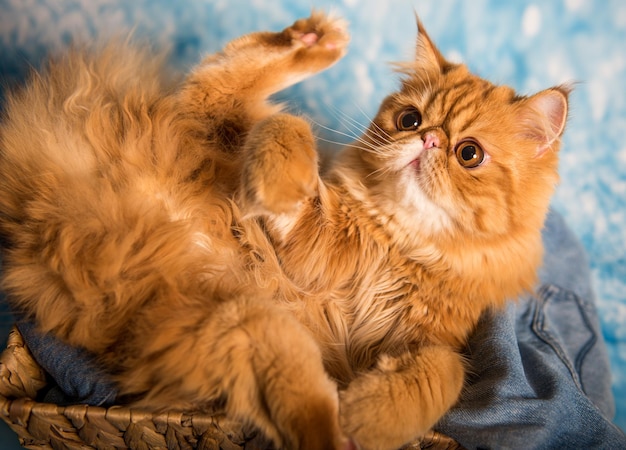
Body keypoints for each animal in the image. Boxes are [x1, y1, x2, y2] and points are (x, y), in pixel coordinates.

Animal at [0, 10, 564, 450]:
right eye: (409, 119)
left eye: (468, 153)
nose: (426, 141)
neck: (400, 245)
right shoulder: (308, 246)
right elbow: (287, 137)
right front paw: (284, 179)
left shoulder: (427, 339)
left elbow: (443, 374)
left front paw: (370, 416)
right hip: (217, 160)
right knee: (224, 80)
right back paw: (315, 39)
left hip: (236, 327)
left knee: (309, 417)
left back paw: (340, 431)